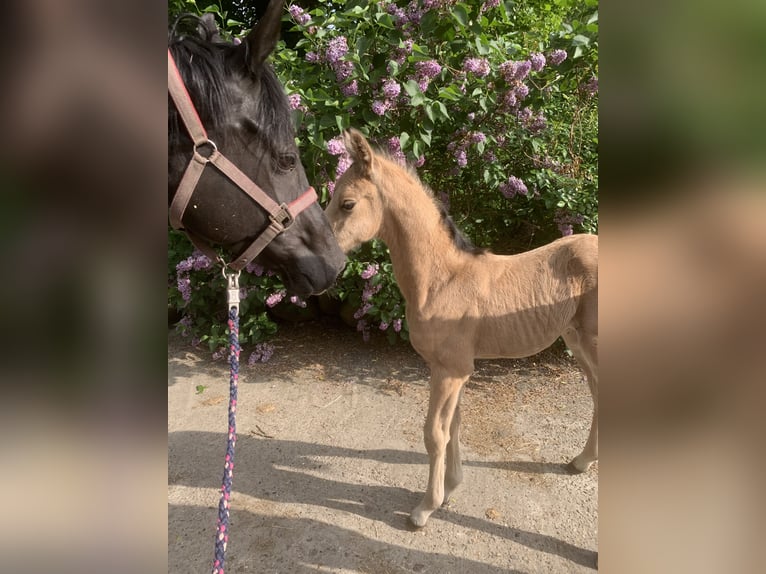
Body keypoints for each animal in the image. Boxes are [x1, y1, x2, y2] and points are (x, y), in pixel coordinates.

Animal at [324, 130, 600, 532]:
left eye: (347, 204)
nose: (325, 259)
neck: (442, 281)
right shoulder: (453, 371)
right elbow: (453, 426)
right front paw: (450, 489)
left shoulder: (450, 371)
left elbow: (434, 434)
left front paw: (425, 508)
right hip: (577, 342)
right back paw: (581, 461)